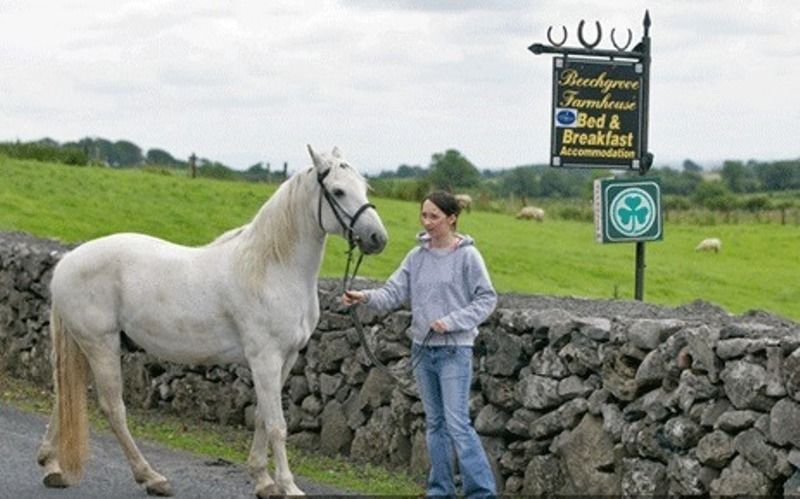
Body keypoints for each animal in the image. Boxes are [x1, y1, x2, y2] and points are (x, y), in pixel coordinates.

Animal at [36, 146, 388, 498]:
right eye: (338, 191)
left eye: (365, 187)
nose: (377, 238)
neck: (272, 268)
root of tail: (67, 261)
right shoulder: (265, 358)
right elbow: (277, 424)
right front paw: (288, 486)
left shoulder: (286, 359)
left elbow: (262, 417)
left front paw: (263, 480)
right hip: (101, 345)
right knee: (113, 409)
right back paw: (151, 477)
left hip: (87, 346)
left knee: (66, 397)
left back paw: (51, 466)